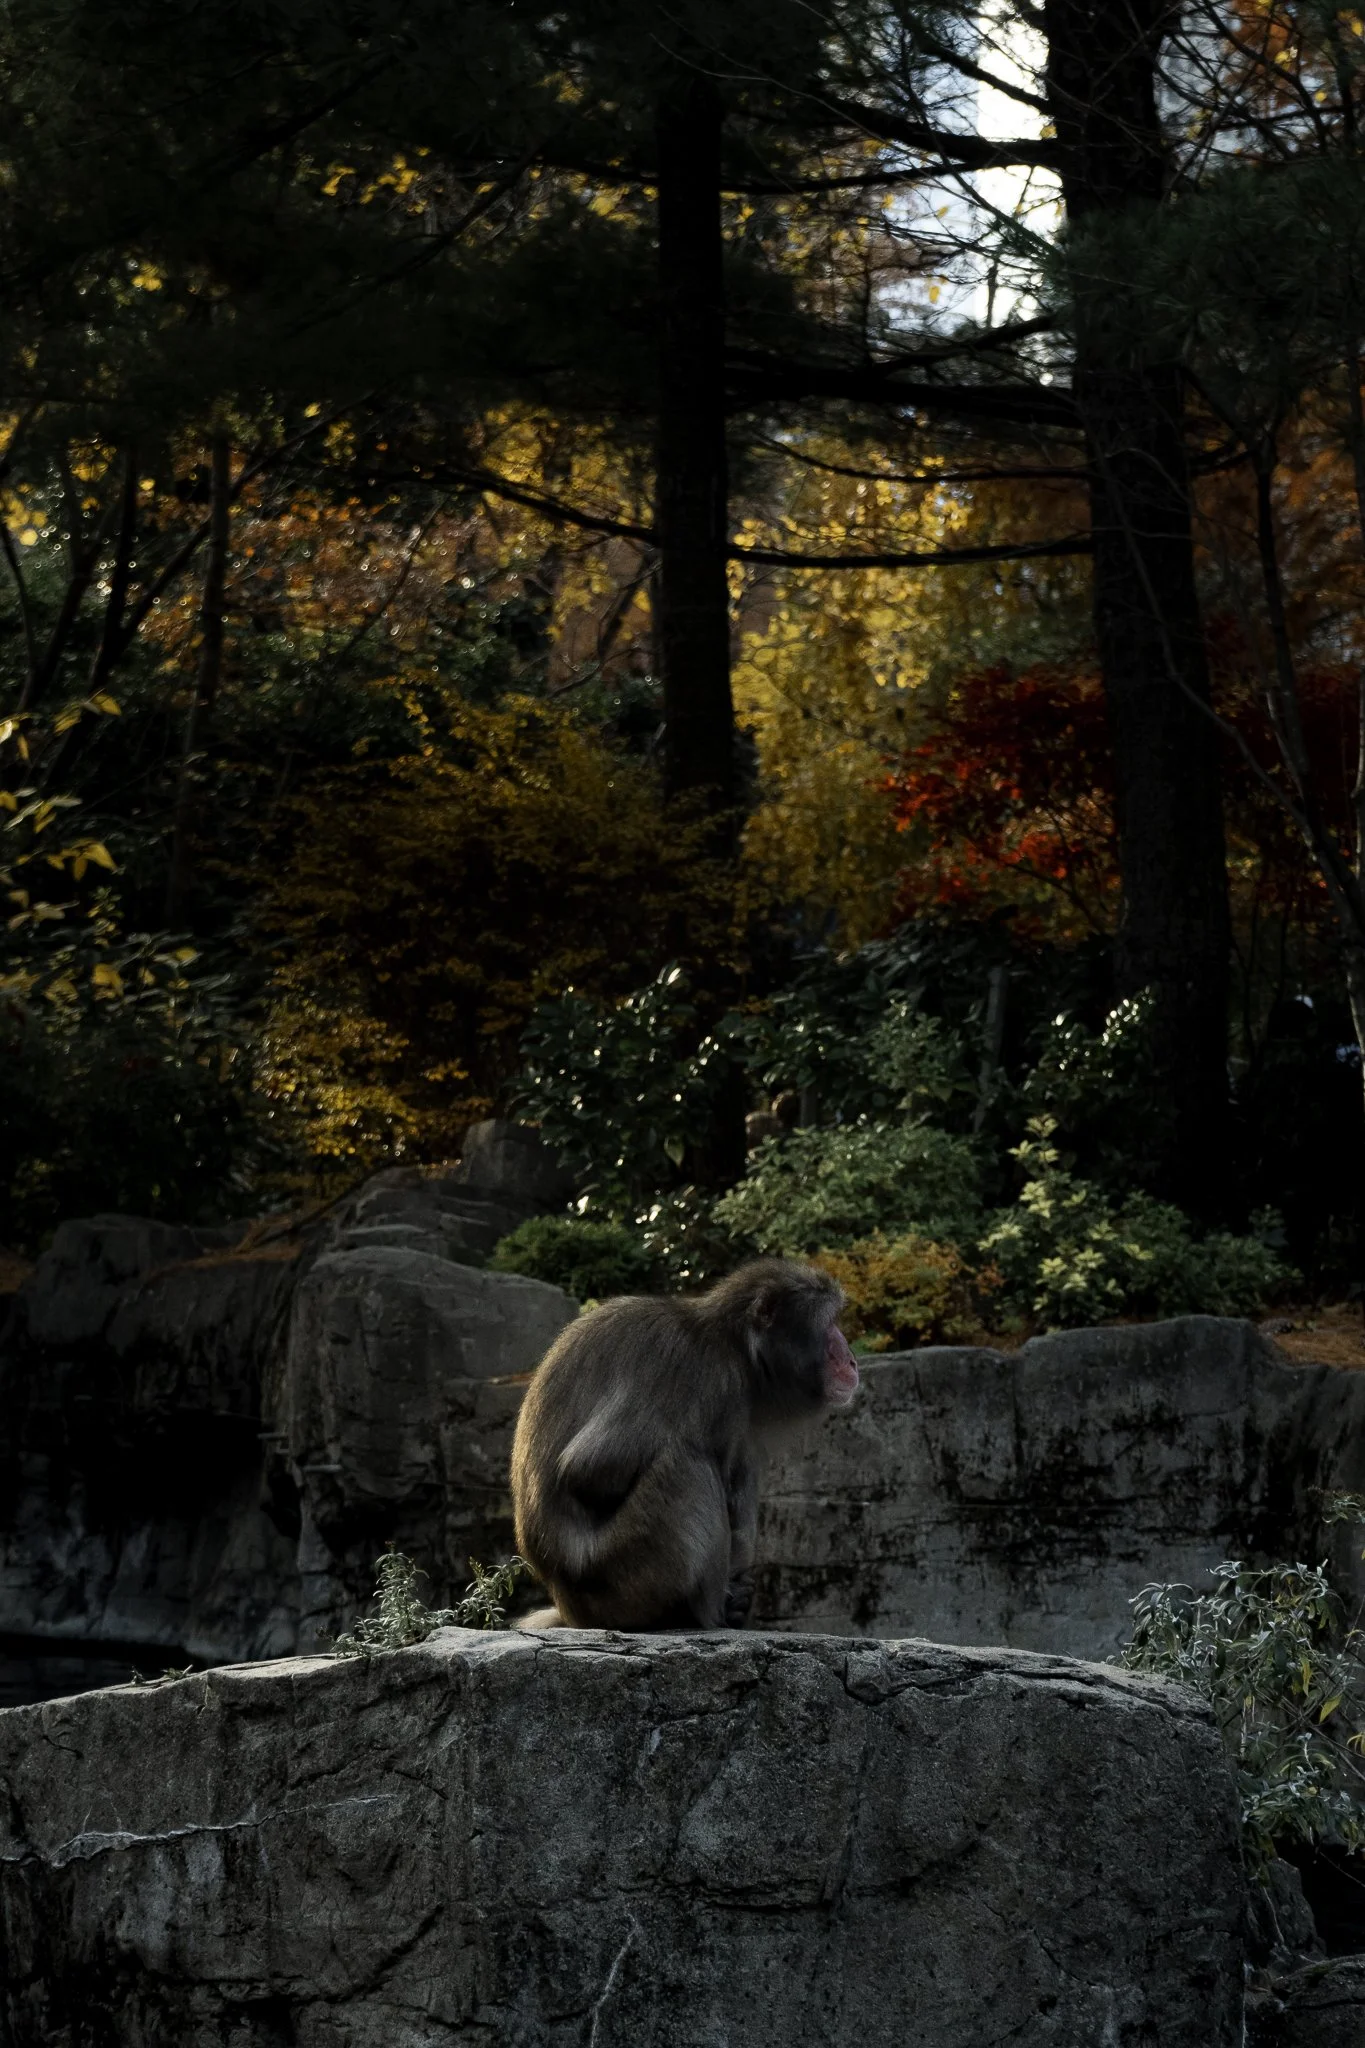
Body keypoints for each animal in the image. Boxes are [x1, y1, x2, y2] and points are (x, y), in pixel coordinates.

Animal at [509, 1259, 859, 1632]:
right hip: (623, 1578)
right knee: (686, 1466)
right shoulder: (700, 1373)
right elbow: (588, 1471)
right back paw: (697, 1615)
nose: (852, 1359)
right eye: (829, 1325)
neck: (735, 1346)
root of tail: (570, 1610)